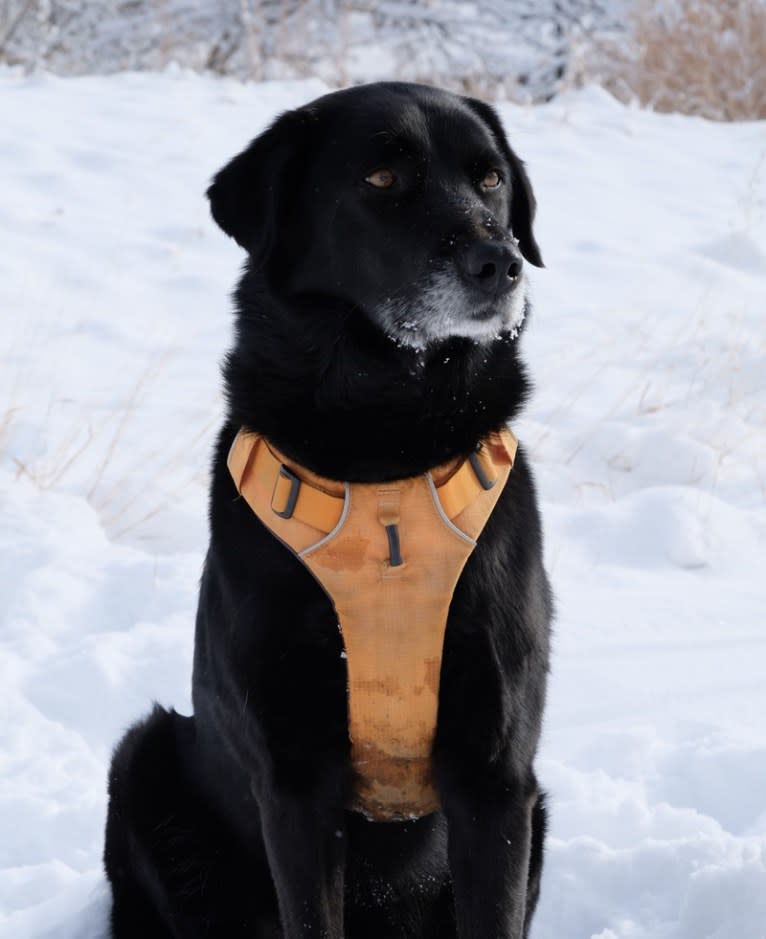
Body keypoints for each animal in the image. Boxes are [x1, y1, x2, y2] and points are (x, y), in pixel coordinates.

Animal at [105, 82, 556, 939]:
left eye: (490, 180)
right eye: (381, 179)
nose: (501, 263)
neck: (387, 446)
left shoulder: (498, 775)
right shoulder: (294, 778)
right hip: (142, 760)